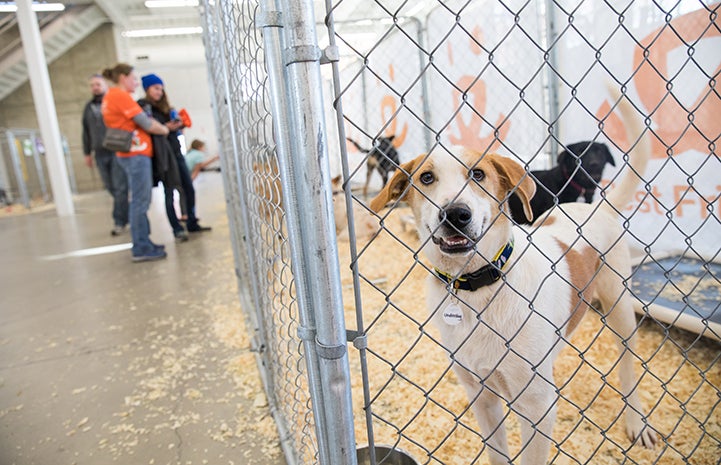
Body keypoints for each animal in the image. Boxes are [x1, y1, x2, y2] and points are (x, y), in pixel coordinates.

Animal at [368, 92, 656, 462]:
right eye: (426, 178)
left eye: (478, 174)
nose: (455, 214)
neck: (476, 287)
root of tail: (596, 207)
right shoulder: (481, 395)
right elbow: (497, 453)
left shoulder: (537, 408)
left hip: (620, 307)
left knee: (628, 366)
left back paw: (637, 422)